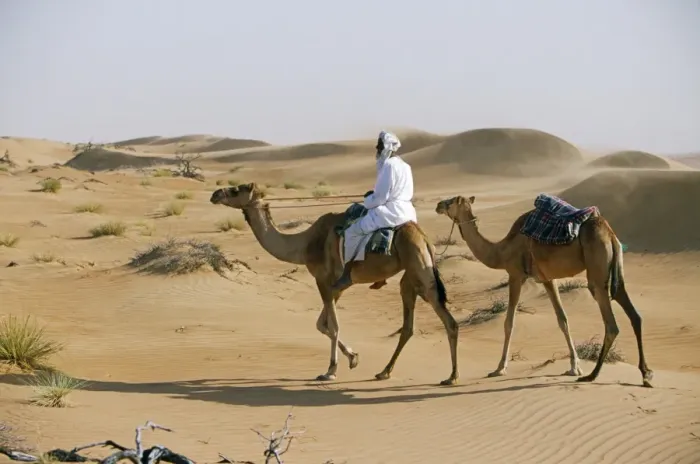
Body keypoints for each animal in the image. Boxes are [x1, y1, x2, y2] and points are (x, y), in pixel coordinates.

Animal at [209, 183, 460, 385]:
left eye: (236, 189)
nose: (215, 194)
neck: (304, 245)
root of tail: (425, 239)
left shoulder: (323, 280)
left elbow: (333, 325)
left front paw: (330, 370)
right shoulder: (338, 286)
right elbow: (322, 324)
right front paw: (353, 358)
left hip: (420, 270)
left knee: (447, 320)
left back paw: (451, 377)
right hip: (411, 278)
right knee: (410, 326)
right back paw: (386, 372)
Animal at [435, 195, 653, 388]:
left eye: (452, 201)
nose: (438, 205)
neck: (502, 250)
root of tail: (609, 233)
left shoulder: (515, 275)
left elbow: (509, 322)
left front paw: (499, 368)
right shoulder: (548, 279)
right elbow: (562, 319)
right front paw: (574, 367)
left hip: (597, 272)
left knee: (611, 323)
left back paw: (593, 375)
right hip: (616, 269)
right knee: (633, 313)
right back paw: (645, 375)